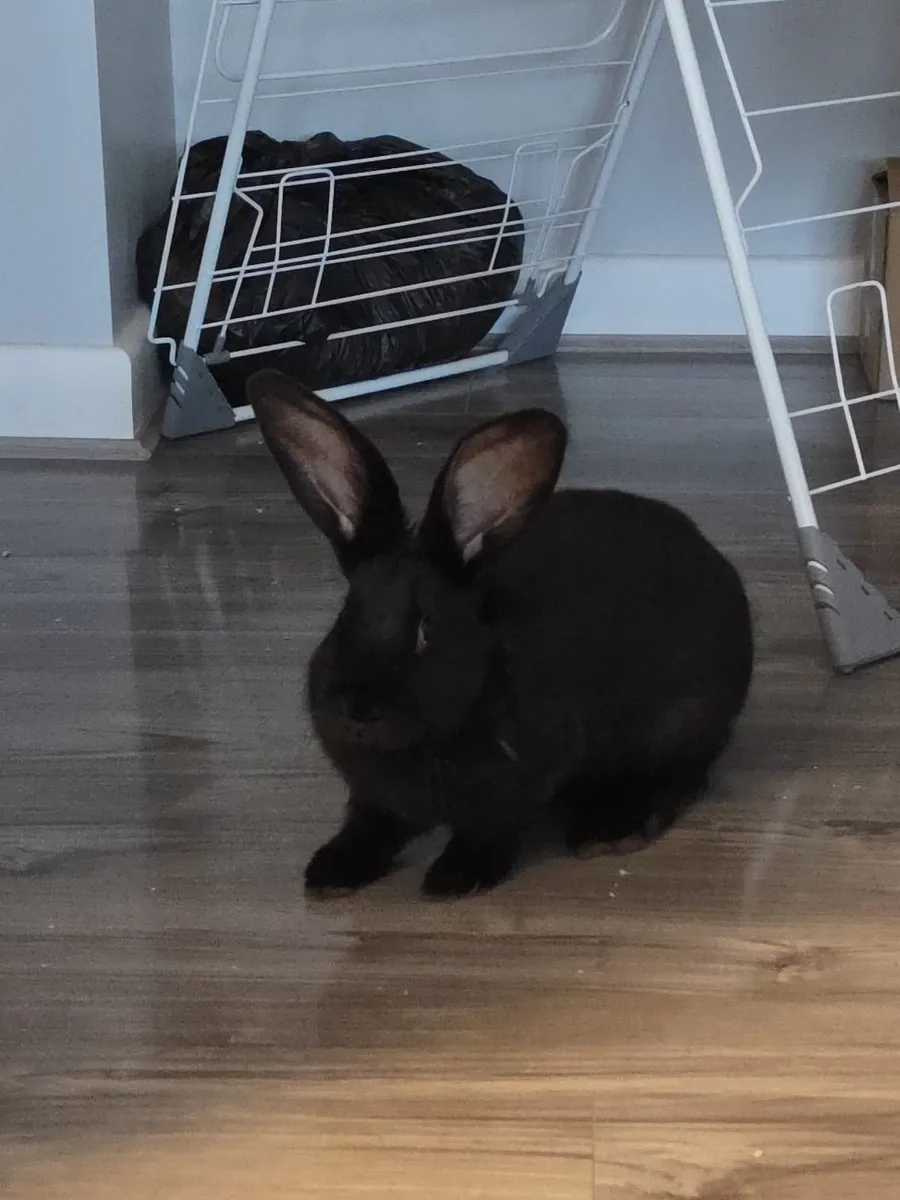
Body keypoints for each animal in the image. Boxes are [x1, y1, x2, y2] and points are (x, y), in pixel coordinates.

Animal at [246, 368, 754, 899]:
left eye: (426, 627)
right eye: (347, 613)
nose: (358, 711)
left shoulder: (522, 782)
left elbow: (492, 828)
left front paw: (455, 878)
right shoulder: (374, 799)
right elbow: (370, 825)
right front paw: (330, 872)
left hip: (681, 723)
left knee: (683, 775)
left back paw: (610, 831)